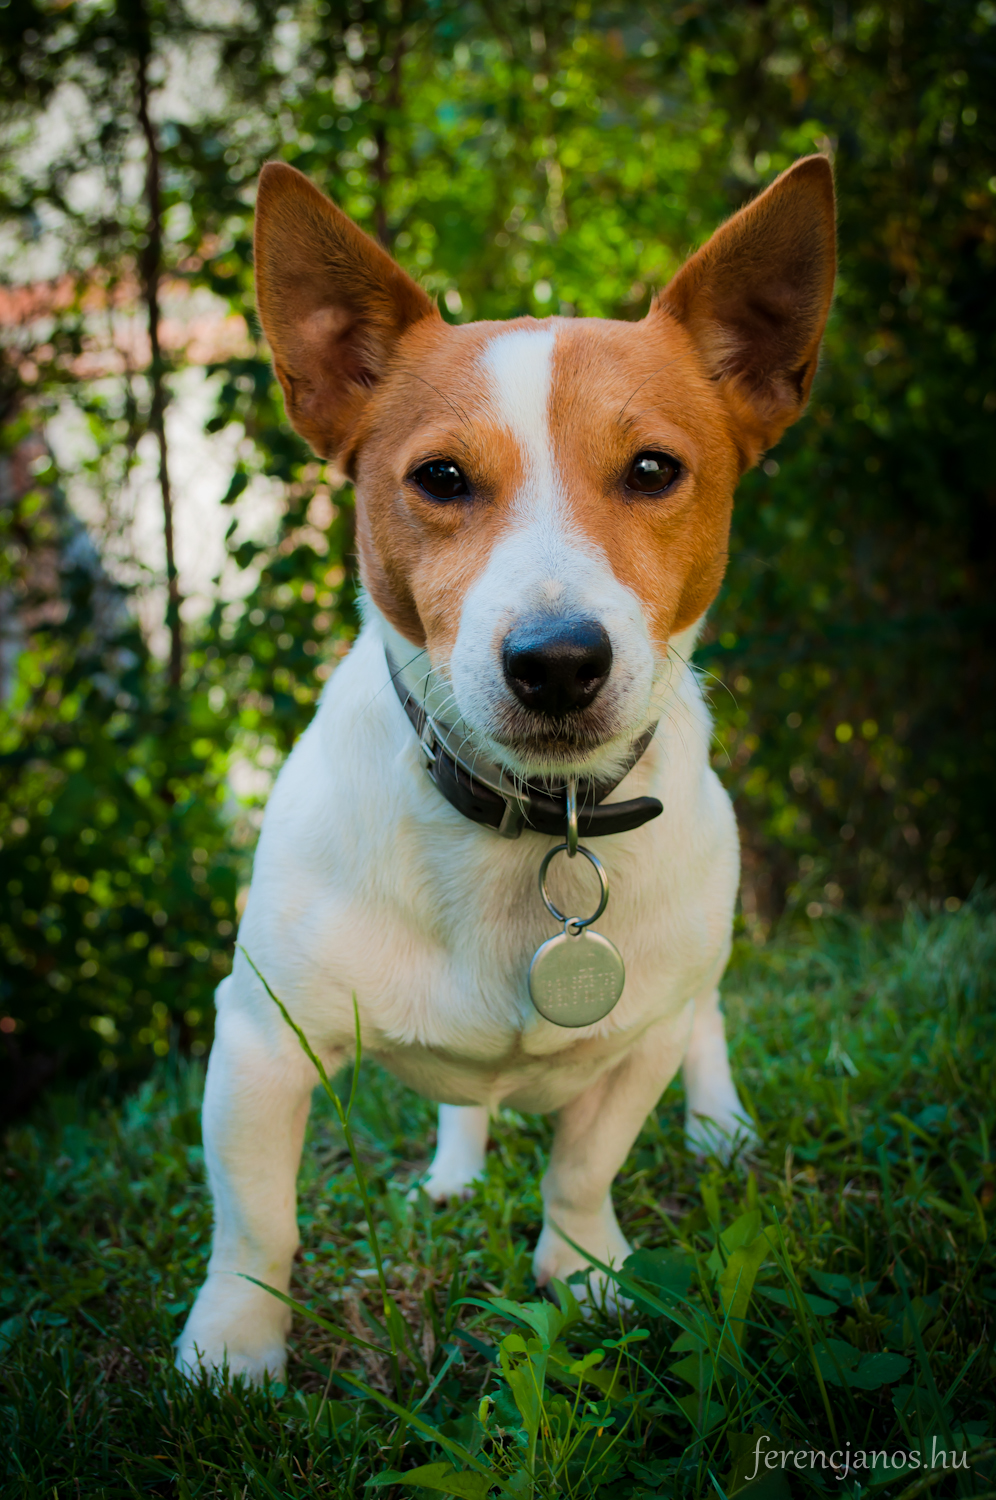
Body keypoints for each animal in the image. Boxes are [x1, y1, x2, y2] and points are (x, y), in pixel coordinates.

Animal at [177, 155, 834, 1380]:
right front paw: (233, 1348)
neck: (534, 822)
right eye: (440, 478)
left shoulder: (638, 1043)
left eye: (654, 468)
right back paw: (454, 1167)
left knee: (708, 1020)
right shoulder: (258, 1043)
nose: (558, 662)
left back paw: (720, 1124)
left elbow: (583, 1167)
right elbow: (257, 1225)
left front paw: (582, 1271)